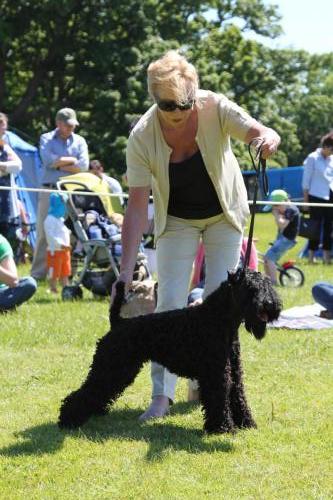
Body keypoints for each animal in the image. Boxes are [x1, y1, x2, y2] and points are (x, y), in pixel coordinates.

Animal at [57, 270, 280, 434]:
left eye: (268, 285)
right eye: (251, 288)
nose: (270, 305)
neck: (217, 319)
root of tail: (118, 322)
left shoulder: (233, 370)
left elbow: (238, 396)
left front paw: (247, 423)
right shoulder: (216, 374)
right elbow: (219, 398)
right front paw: (222, 428)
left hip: (121, 370)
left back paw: (94, 412)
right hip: (112, 366)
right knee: (87, 390)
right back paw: (68, 419)